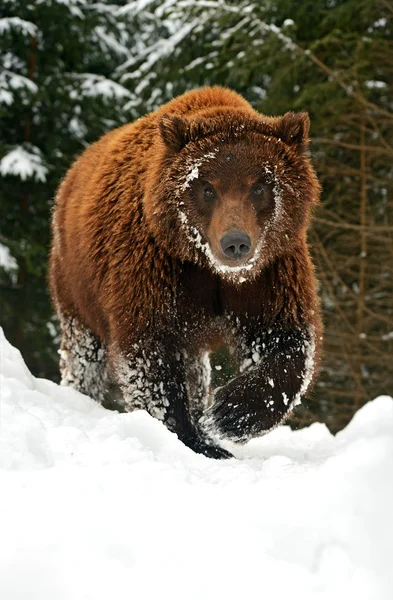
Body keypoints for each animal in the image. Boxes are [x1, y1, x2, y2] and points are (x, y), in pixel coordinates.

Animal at [49, 85, 320, 460]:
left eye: (259, 186)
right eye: (207, 187)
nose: (236, 243)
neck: (209, 269)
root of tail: (73, 171)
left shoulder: (269, 273)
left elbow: (285, 342)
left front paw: (226, 414)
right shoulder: (154, 269)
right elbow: (151, 356)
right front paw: (193, 437)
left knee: (195, 370)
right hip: (77, 283)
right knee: (83, 353)